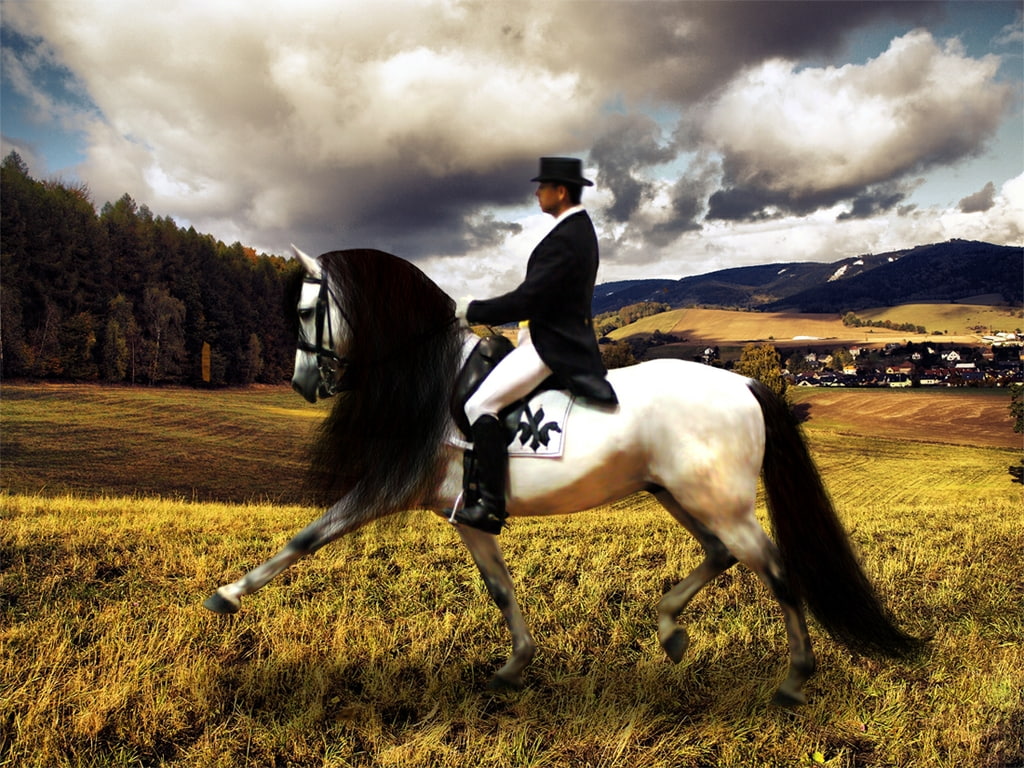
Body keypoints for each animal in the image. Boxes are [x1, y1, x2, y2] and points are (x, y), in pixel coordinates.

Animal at [204, 246, 920, 705]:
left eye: (307, 312)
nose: (304, 384)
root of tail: (743, 383)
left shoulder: (389, 487)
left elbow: (308, 536)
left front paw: (227, 596)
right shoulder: (467, 513)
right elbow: (499, 589)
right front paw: (514, 667)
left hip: (719, 502)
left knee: (774, 570)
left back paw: (794, 679)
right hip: (681, 494)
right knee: (721, 554)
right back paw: (670, 630)